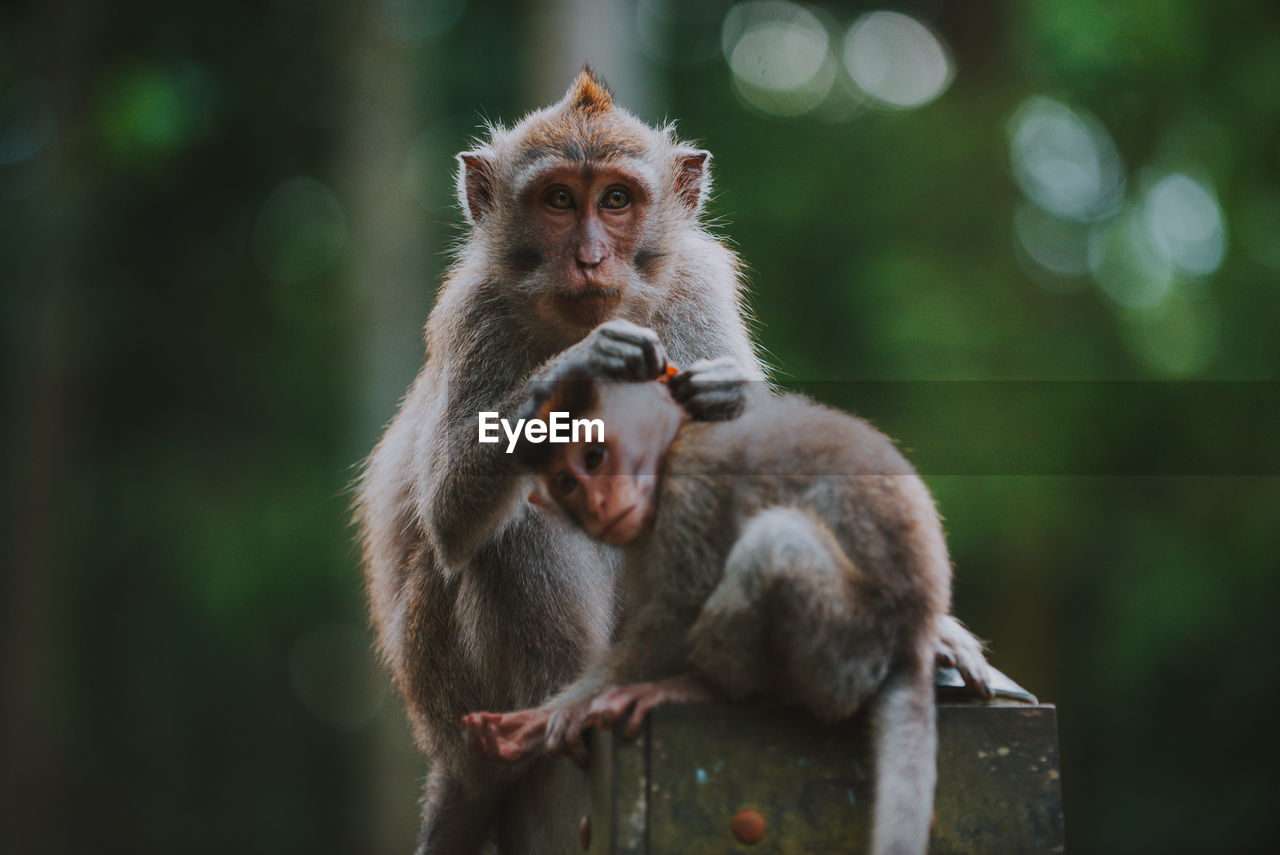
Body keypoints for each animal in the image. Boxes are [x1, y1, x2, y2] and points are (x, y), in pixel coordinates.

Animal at [471, 368, 962, 855]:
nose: (597, 506)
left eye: (594, 456)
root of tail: (913, 634)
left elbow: (676, 614)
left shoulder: (689, 491)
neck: (674, 445)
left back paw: (706, 689)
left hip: (849, 649)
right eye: (567, 485)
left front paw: (563, 715)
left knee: (773, 544)